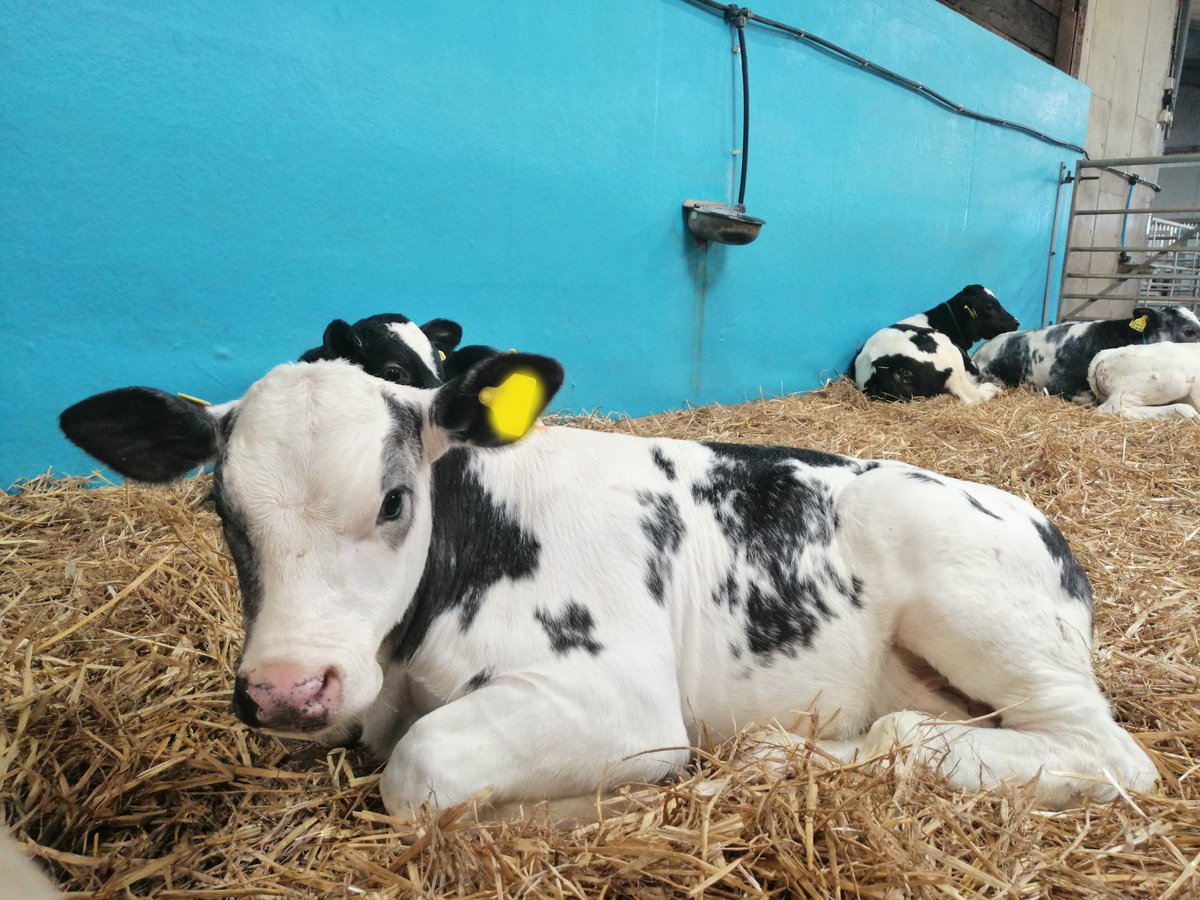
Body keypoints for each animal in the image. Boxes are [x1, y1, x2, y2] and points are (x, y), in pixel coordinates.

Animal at [58, 353, 1157, 816]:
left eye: (393, 500)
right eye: (222, 512)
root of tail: (1041, 522)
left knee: (1104, 753)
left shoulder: (619, 703)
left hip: (978, 608)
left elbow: (421, 769)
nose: (287, 689)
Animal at [851, 285, 1019, 403]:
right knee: (971, 396)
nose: (1016, 322)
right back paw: (995, 390)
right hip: (951, 356)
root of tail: (879, 362)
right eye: (989, 306)